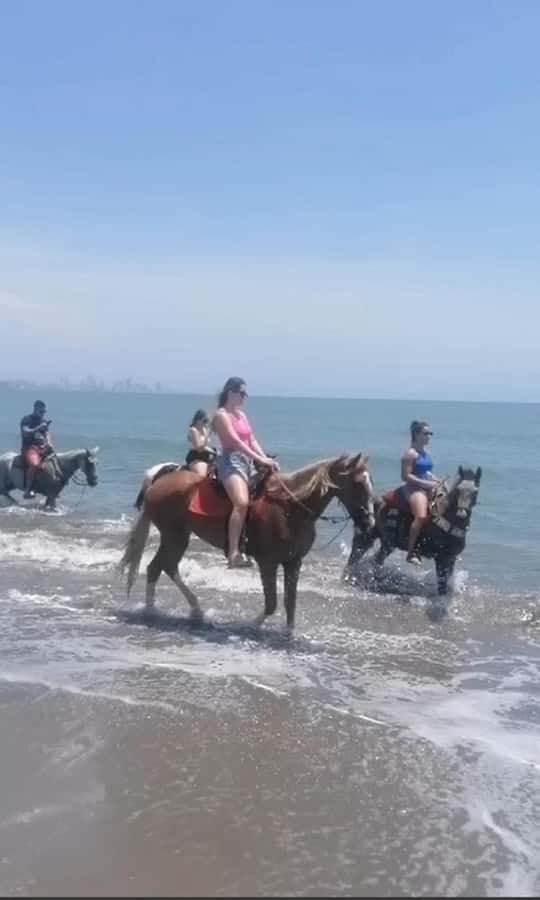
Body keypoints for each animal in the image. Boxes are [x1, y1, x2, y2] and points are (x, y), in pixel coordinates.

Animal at [119, 452, 375, 630]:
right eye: (358, 483)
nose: (369, 522)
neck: (290, 508)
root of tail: (158, 480)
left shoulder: (293, 563)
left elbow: (290, 605)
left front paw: (289, 634)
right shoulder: (268, 563)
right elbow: (271, 603)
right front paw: (250, 625)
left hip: (177, 536)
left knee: (163, 567)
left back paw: (190, 609)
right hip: (175, 536)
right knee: (159, 567)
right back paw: (154, 611)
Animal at [346, 465, 482, 595]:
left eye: (475, 491)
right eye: (458, 490)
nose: (462, 514)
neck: (446, 520)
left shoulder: (450, 558)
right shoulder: (441, 558)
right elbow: (442, 585)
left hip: (387, 544)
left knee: (375, 560)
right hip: (369, 538)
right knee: (355, 556)